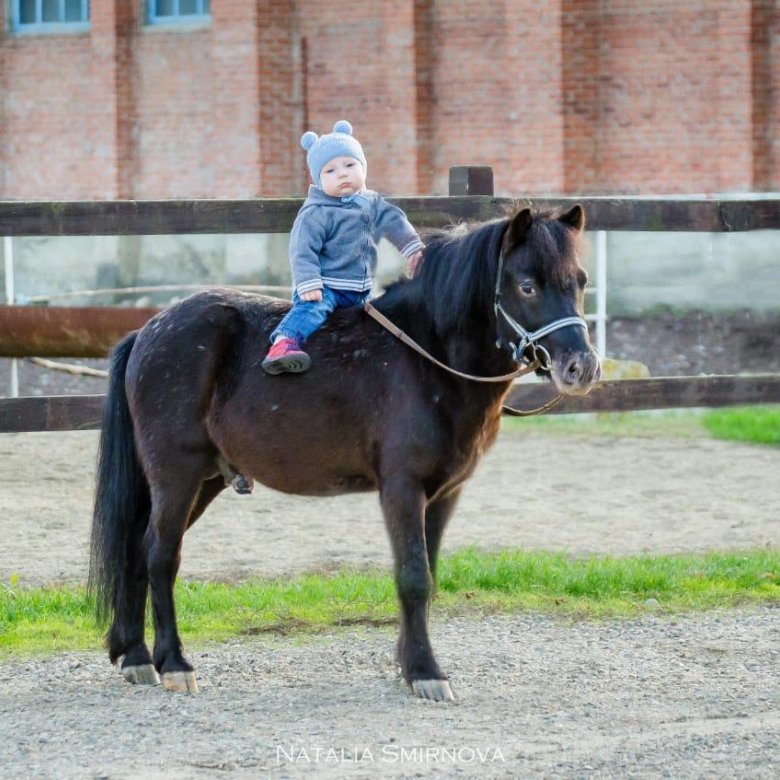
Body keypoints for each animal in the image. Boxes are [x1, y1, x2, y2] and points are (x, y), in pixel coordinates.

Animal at [93, 204, 604, 704]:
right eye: (527, 285)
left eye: (580, 281)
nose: (581, 368)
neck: (429, 357)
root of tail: (146, 332)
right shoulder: (402, 488)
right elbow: (414, 576)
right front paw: (426, 672)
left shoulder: (443, 494)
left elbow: (428, 573)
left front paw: (408, 664)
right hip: (176, 475)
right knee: (161, 555)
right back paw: (174, 664)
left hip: (204, 481)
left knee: (136, 551)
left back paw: (136, 657)